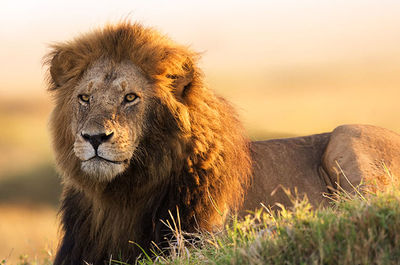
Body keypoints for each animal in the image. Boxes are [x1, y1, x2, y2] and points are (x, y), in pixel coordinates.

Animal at [45, 22, 400, 264]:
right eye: (85, 98)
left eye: (130, 97)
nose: (94, 138)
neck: (124, 194)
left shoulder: (198, 241)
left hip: (346, 136)